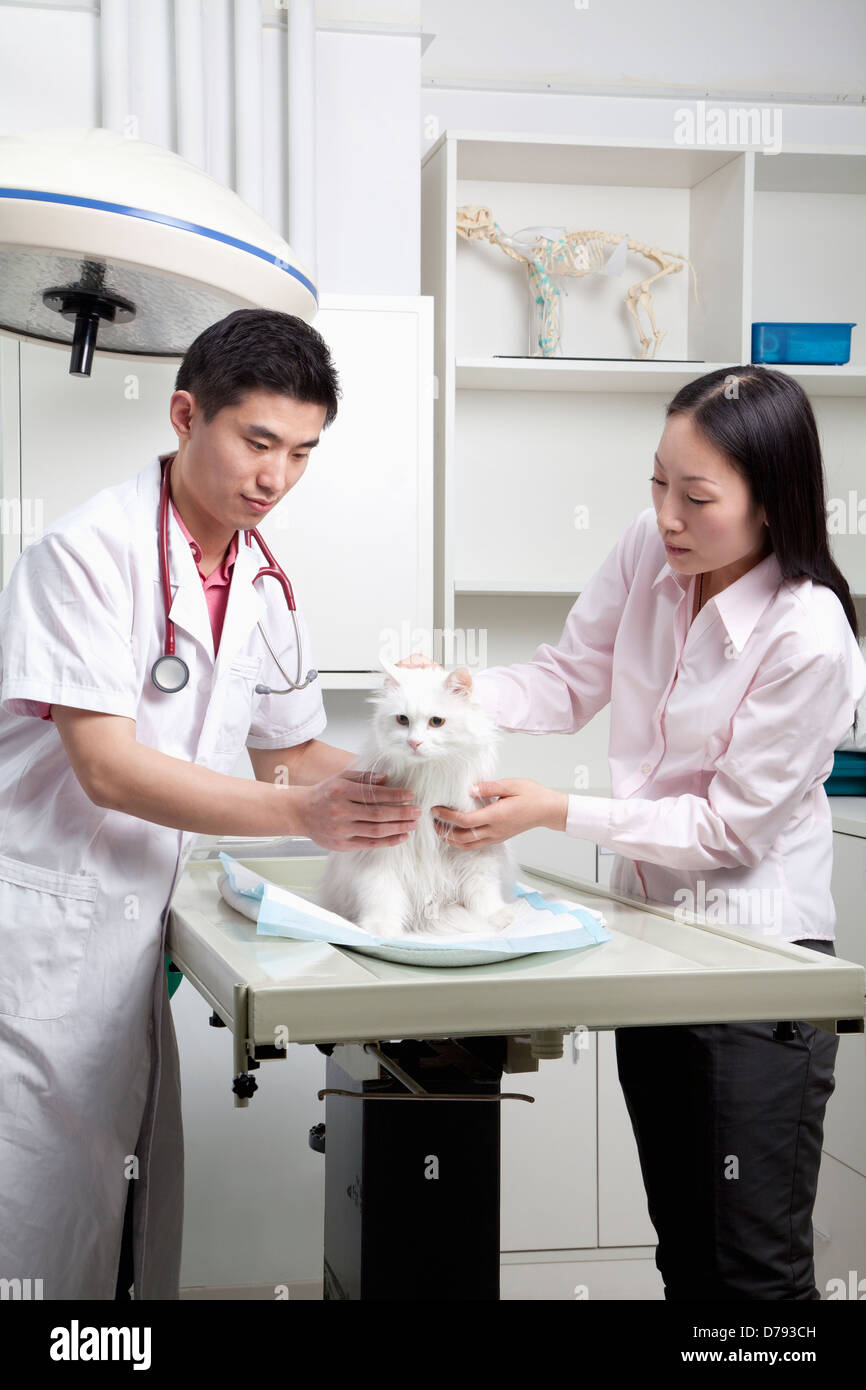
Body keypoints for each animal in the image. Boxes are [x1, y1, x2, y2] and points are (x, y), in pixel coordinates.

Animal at [315, 656, 514, 939]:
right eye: (402, 720)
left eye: (437, 722)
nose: (414, 743)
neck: (427, 777)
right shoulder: (380, 856)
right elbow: (382, 897)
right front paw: (381, 930)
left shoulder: (475, 851)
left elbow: (483, 892)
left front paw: (497, 918)